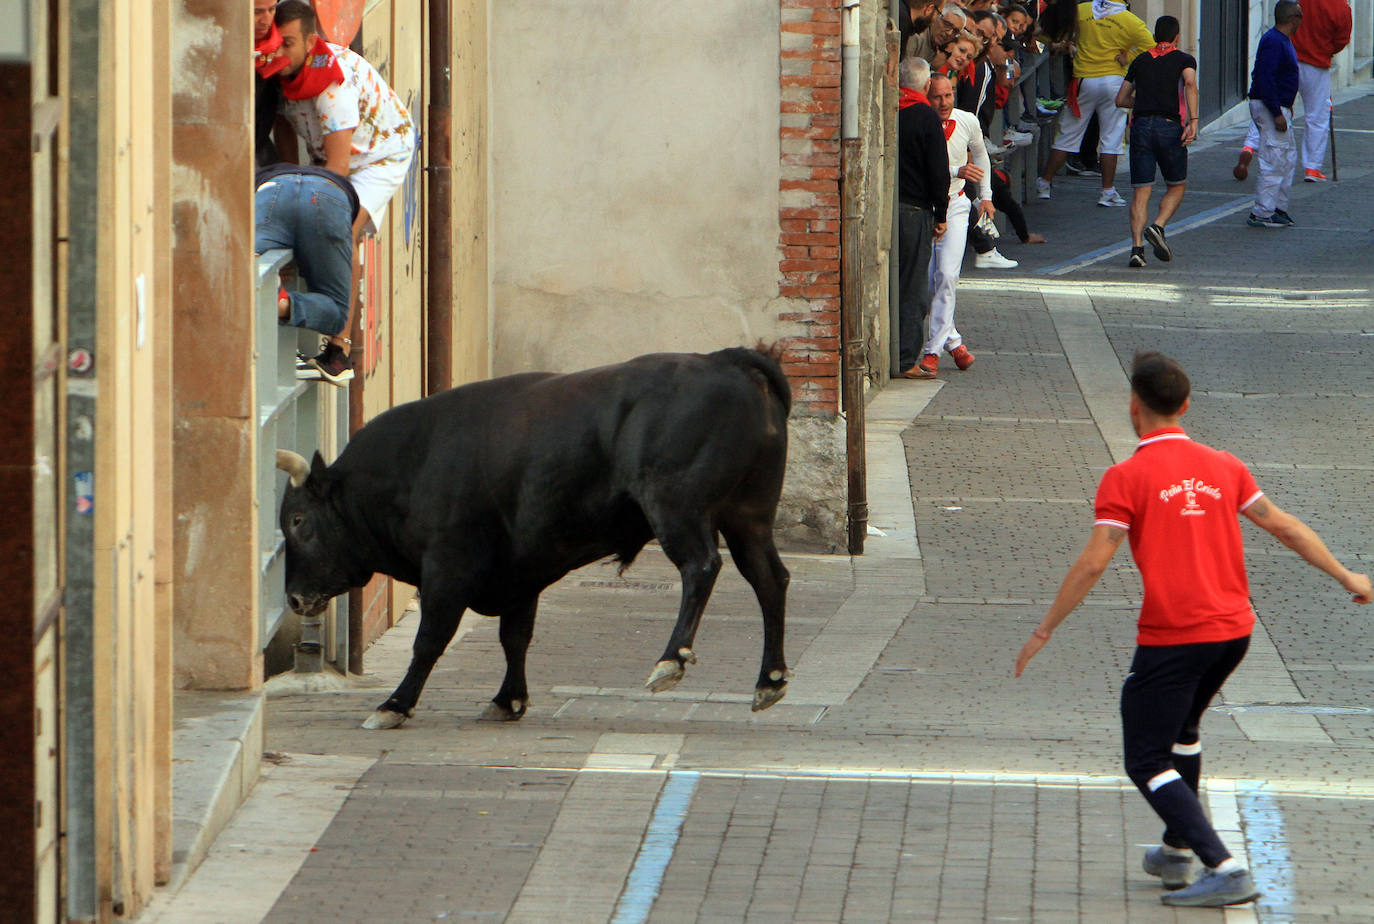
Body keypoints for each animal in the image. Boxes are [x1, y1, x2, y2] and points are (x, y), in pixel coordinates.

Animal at [276, 347, 796, 731]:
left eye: (299, 521)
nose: (295, 598)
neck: (414, 462)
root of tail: (723, 360)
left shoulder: (447, 569)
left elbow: (430, 640)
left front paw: (395, 704)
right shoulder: (520, 575)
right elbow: (515, 637)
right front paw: (508, 700)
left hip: (677, 509)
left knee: (702, 567)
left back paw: (671, 661)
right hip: (748, 518)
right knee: (770, 579)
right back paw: (769, 680)